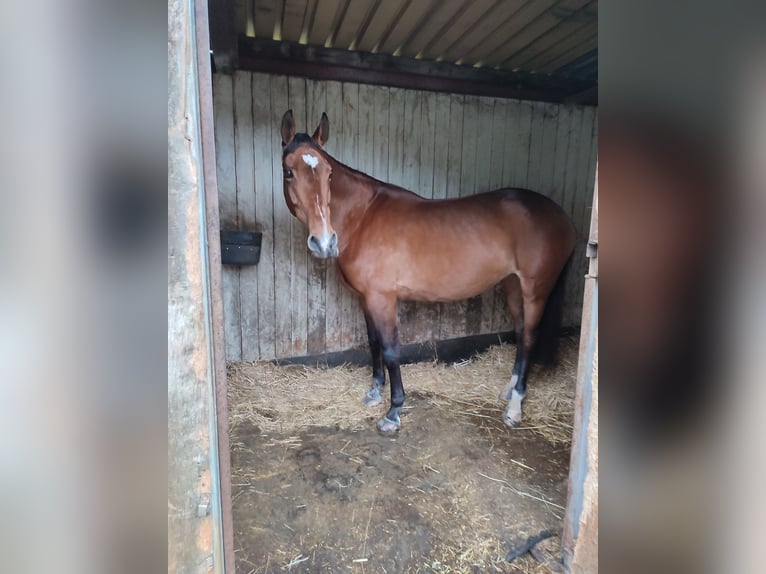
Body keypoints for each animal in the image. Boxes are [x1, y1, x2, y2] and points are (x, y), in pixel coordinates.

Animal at [279, 110, 576, 434]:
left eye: (330, 174)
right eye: (288, 171)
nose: (324, 242)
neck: (363, 217)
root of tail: (560, 215)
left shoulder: (383, 299)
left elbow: (390, 350)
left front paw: (393, 411)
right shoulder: (366, 298)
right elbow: (374, 343)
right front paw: (374, 393)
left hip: (536, 290)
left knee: (531, 337)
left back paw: (515, 407)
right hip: (513, 286)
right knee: (521, 334)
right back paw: (508, 391)